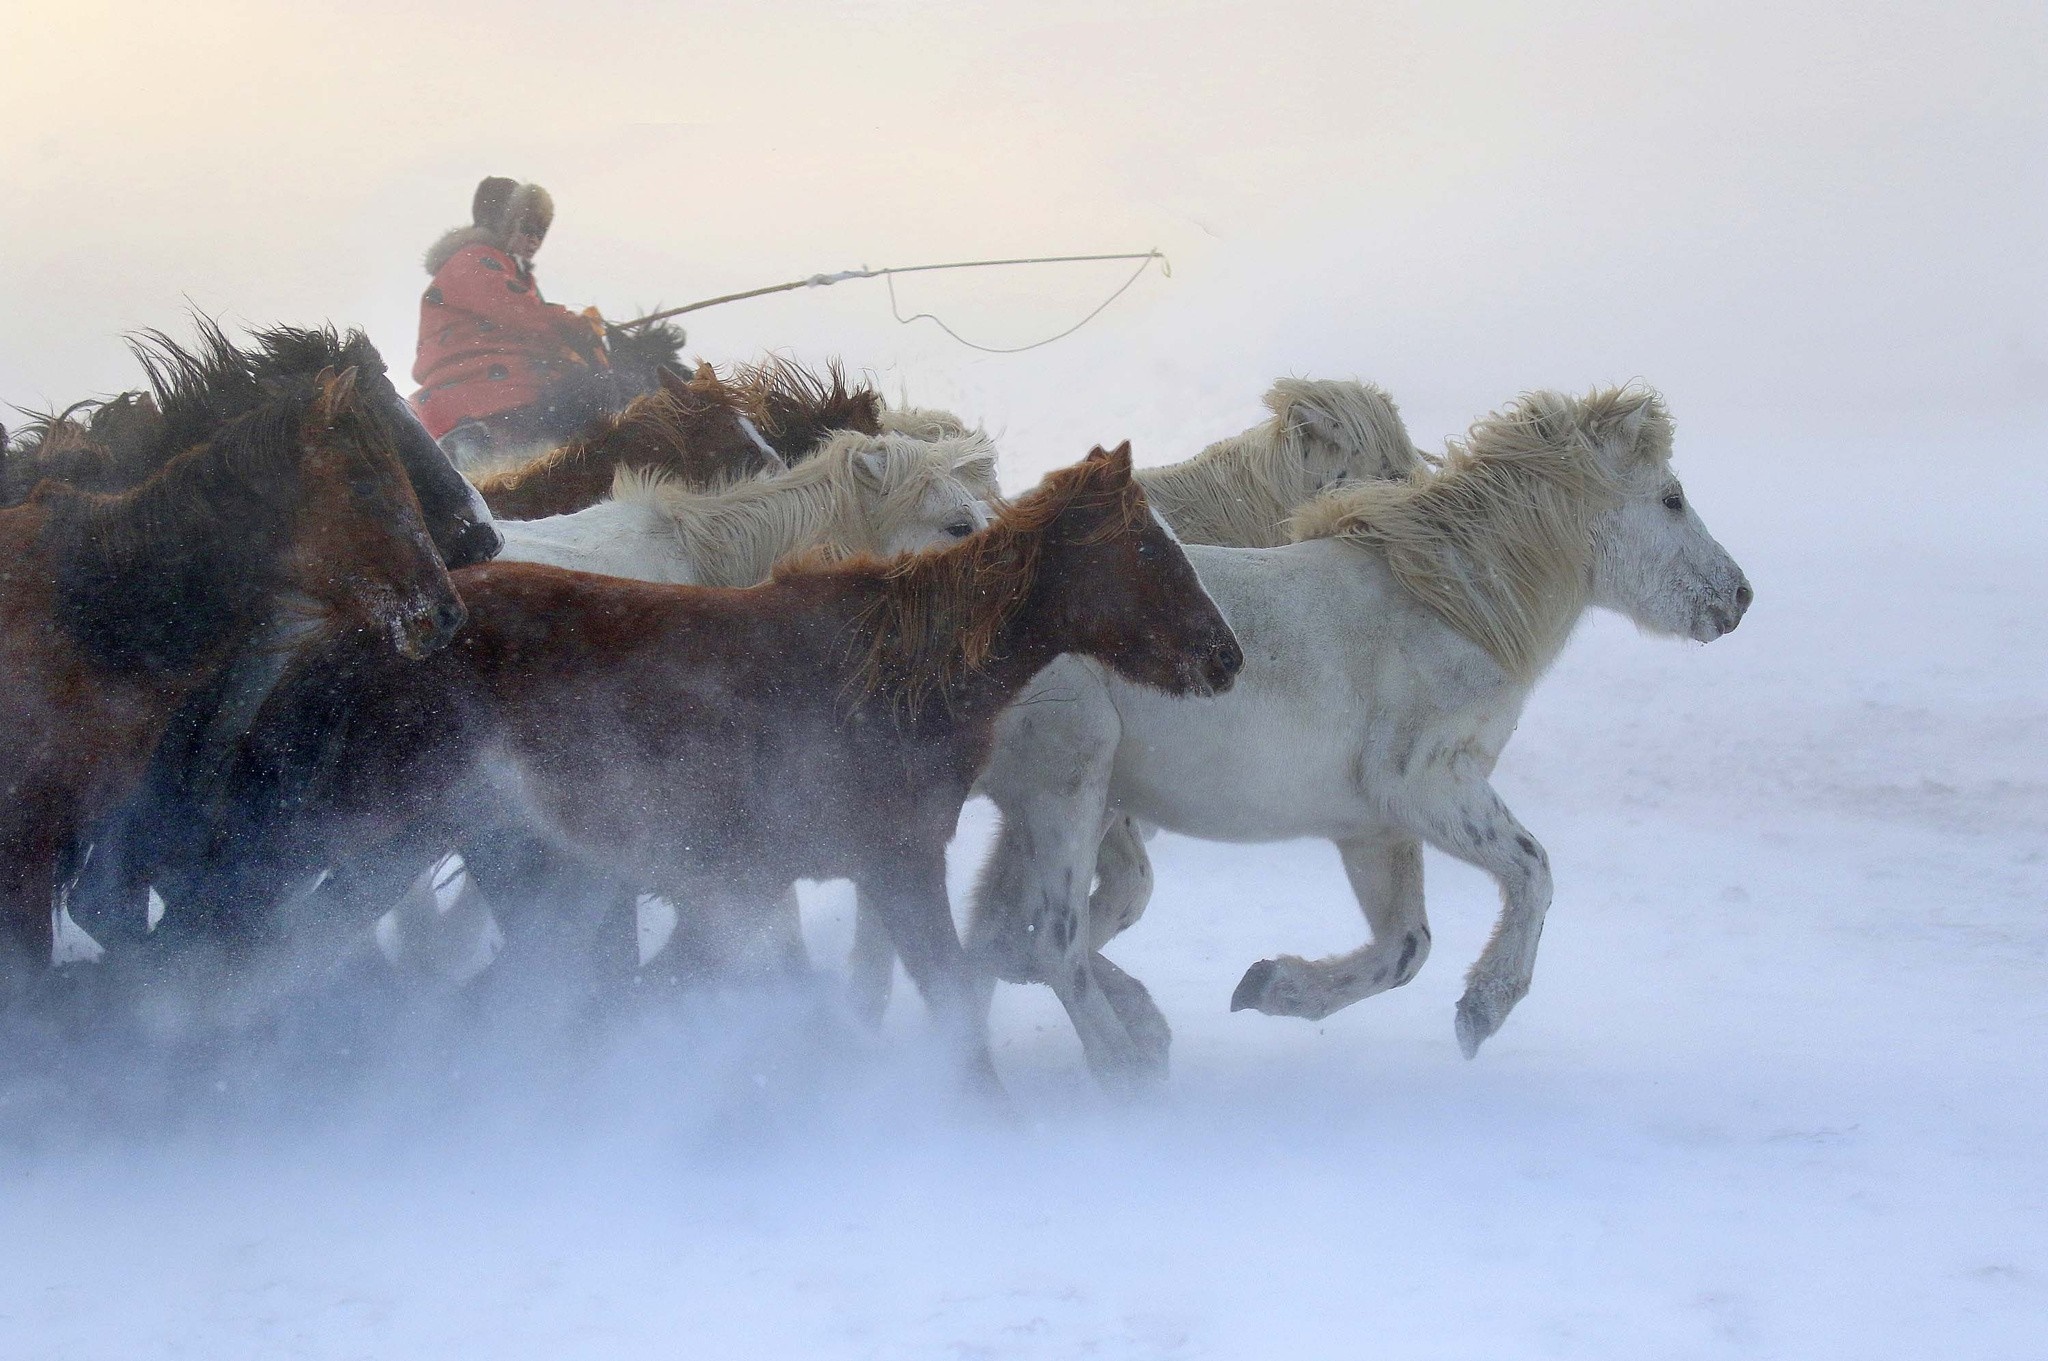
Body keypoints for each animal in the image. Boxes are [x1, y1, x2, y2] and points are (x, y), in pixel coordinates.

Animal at [101, 445, 1243, 1089]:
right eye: (1148, 551)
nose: (1224, 655)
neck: (893, 671)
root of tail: (353, 636)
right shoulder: (883, 866)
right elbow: (948, 1000)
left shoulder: (743, 881)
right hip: (380, 844)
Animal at [961, 386, 1752, 1086]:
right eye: (1671, 498)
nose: (1739, 597)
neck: (1448, 611)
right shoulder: (1426, 784)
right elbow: (1532, 871)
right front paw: (1483, 1009)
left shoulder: (1376, 830)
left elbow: (1406, 948)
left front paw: (1270, 985)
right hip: (1067, 786)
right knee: (1051, 942)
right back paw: (1122, 1068)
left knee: (1005, 941)